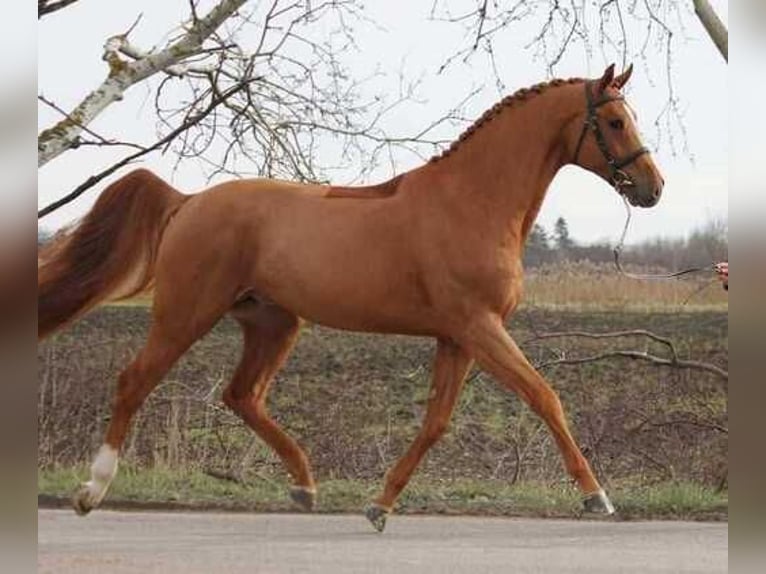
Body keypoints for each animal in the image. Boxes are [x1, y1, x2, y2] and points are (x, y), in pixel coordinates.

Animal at [36, 65, 664, 532]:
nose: (654, 188)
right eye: (614, 120)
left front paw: (379, 506)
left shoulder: (456, 337)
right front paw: (597, 497)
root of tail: (187, 201)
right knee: (135, 381)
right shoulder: (480, 326)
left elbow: (436, 422)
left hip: (273, 322)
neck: (472, 202)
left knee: (242, 396)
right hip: (186, 312)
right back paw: (91, 491)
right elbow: (544, 397)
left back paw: (304, 486)